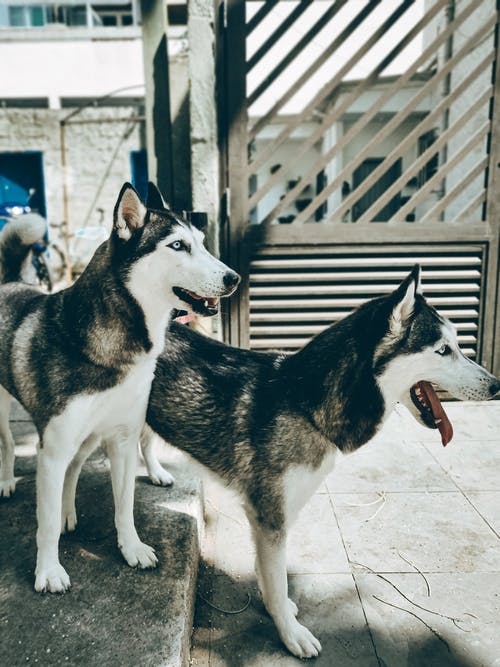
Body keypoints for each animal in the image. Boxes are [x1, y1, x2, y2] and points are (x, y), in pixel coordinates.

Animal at [0, 183, 240, 596]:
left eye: (202, 242)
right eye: (178, 245)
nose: (234, 278)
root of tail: (10, 282)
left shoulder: (123, 439)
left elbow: (125, 505)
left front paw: (132, 549)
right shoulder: (53, 449)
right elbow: (45, 523)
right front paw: (48, 571)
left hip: (90, 436)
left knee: (75, 467)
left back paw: (69, 510)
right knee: (11, 444)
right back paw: (7, 482)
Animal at [136, 264, 496, 656]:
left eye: (457, 345)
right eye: (443, 350)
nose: (496, 386)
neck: (304, 402)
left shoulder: (278, 513)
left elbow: (270, 574)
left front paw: (276, 605)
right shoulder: (270, 516)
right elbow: (277, 578)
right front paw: (290, 632)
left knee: (143, 439)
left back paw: (156, 473)